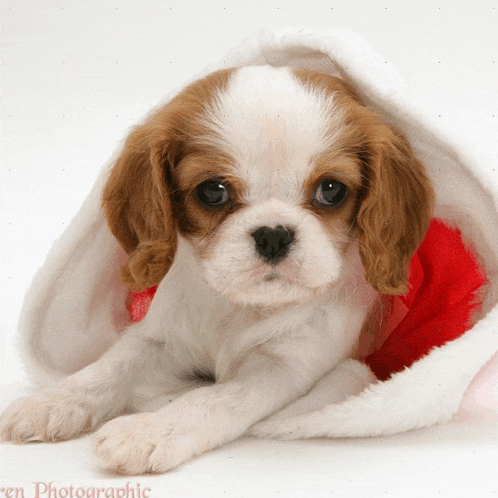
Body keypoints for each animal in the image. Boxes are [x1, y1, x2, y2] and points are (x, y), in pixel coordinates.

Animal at [0, 66, 434, 474]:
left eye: (331, 190)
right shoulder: (160, 336)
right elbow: (110, 367)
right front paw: (50, 401)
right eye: (213, 191)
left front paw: (150, 432)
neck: (240, 306)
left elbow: (212, 398)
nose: (273, 235)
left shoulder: (285, 366)